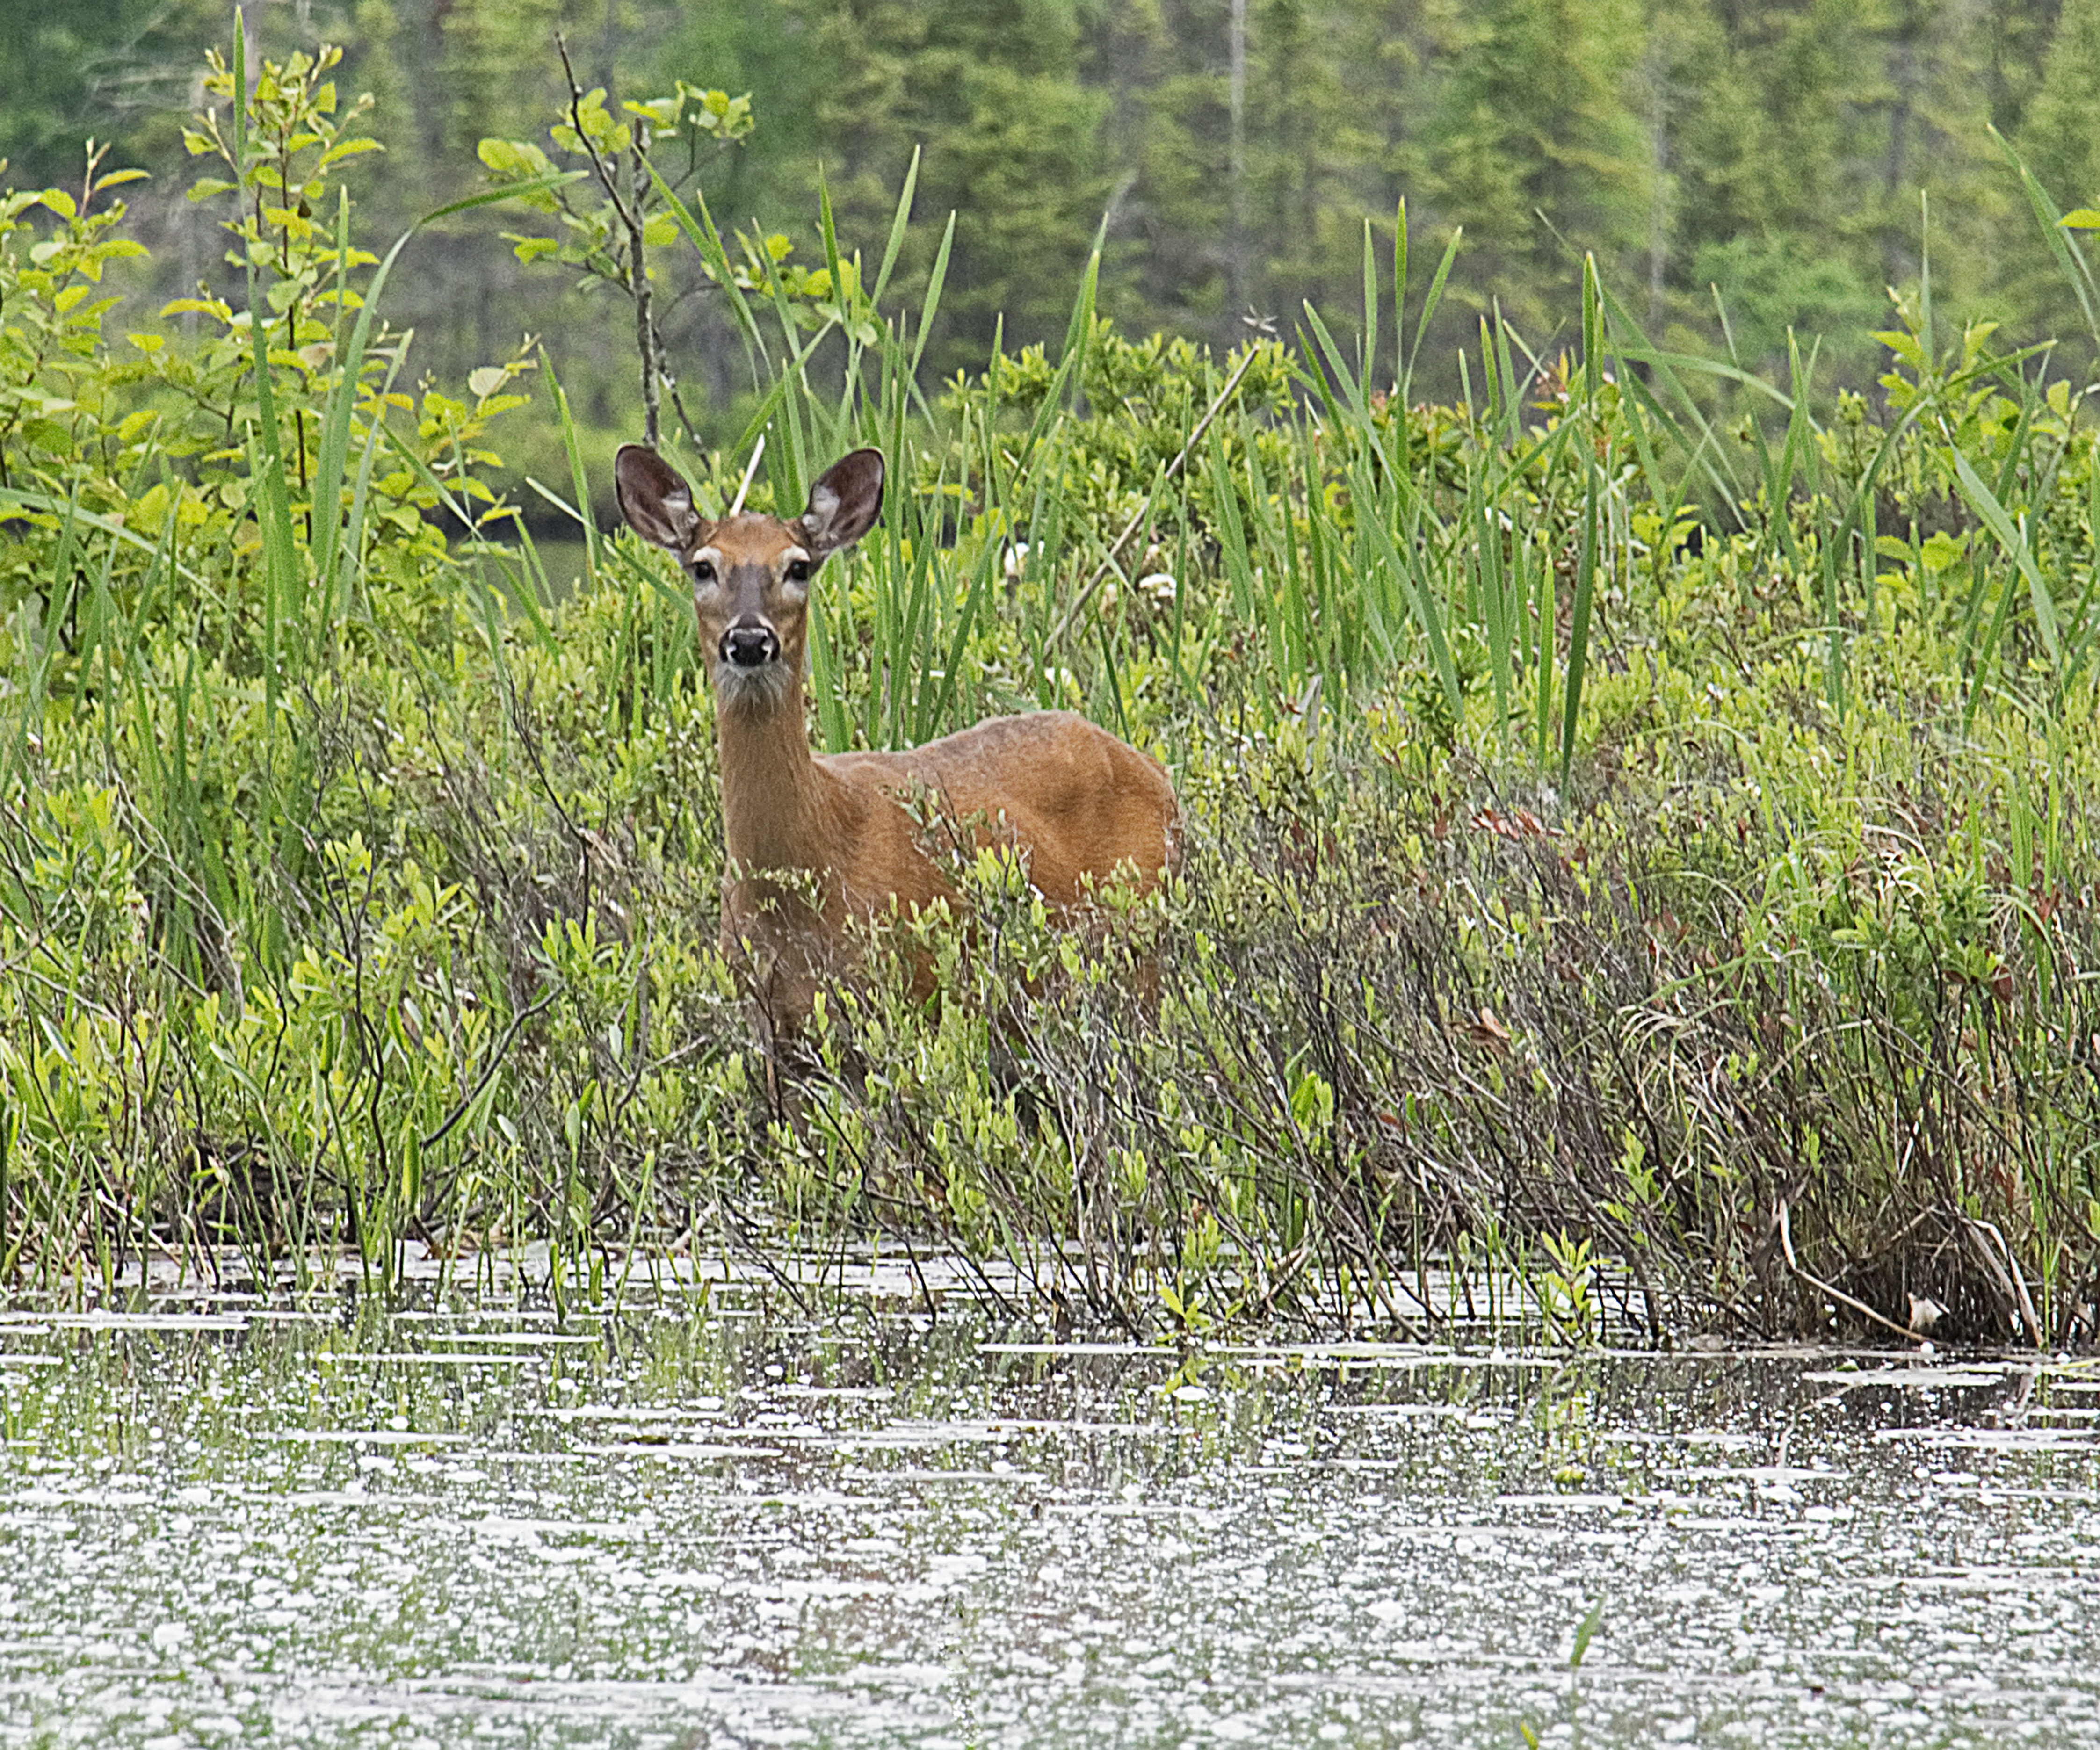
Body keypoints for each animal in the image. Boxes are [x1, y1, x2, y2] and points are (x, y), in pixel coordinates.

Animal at [613, 443, 1182, 1056]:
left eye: (797, 566)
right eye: (702, 566)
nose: (748, 640)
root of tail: (1157, 771)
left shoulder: (906, 999)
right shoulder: (768, 1030)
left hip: (1142, 951)